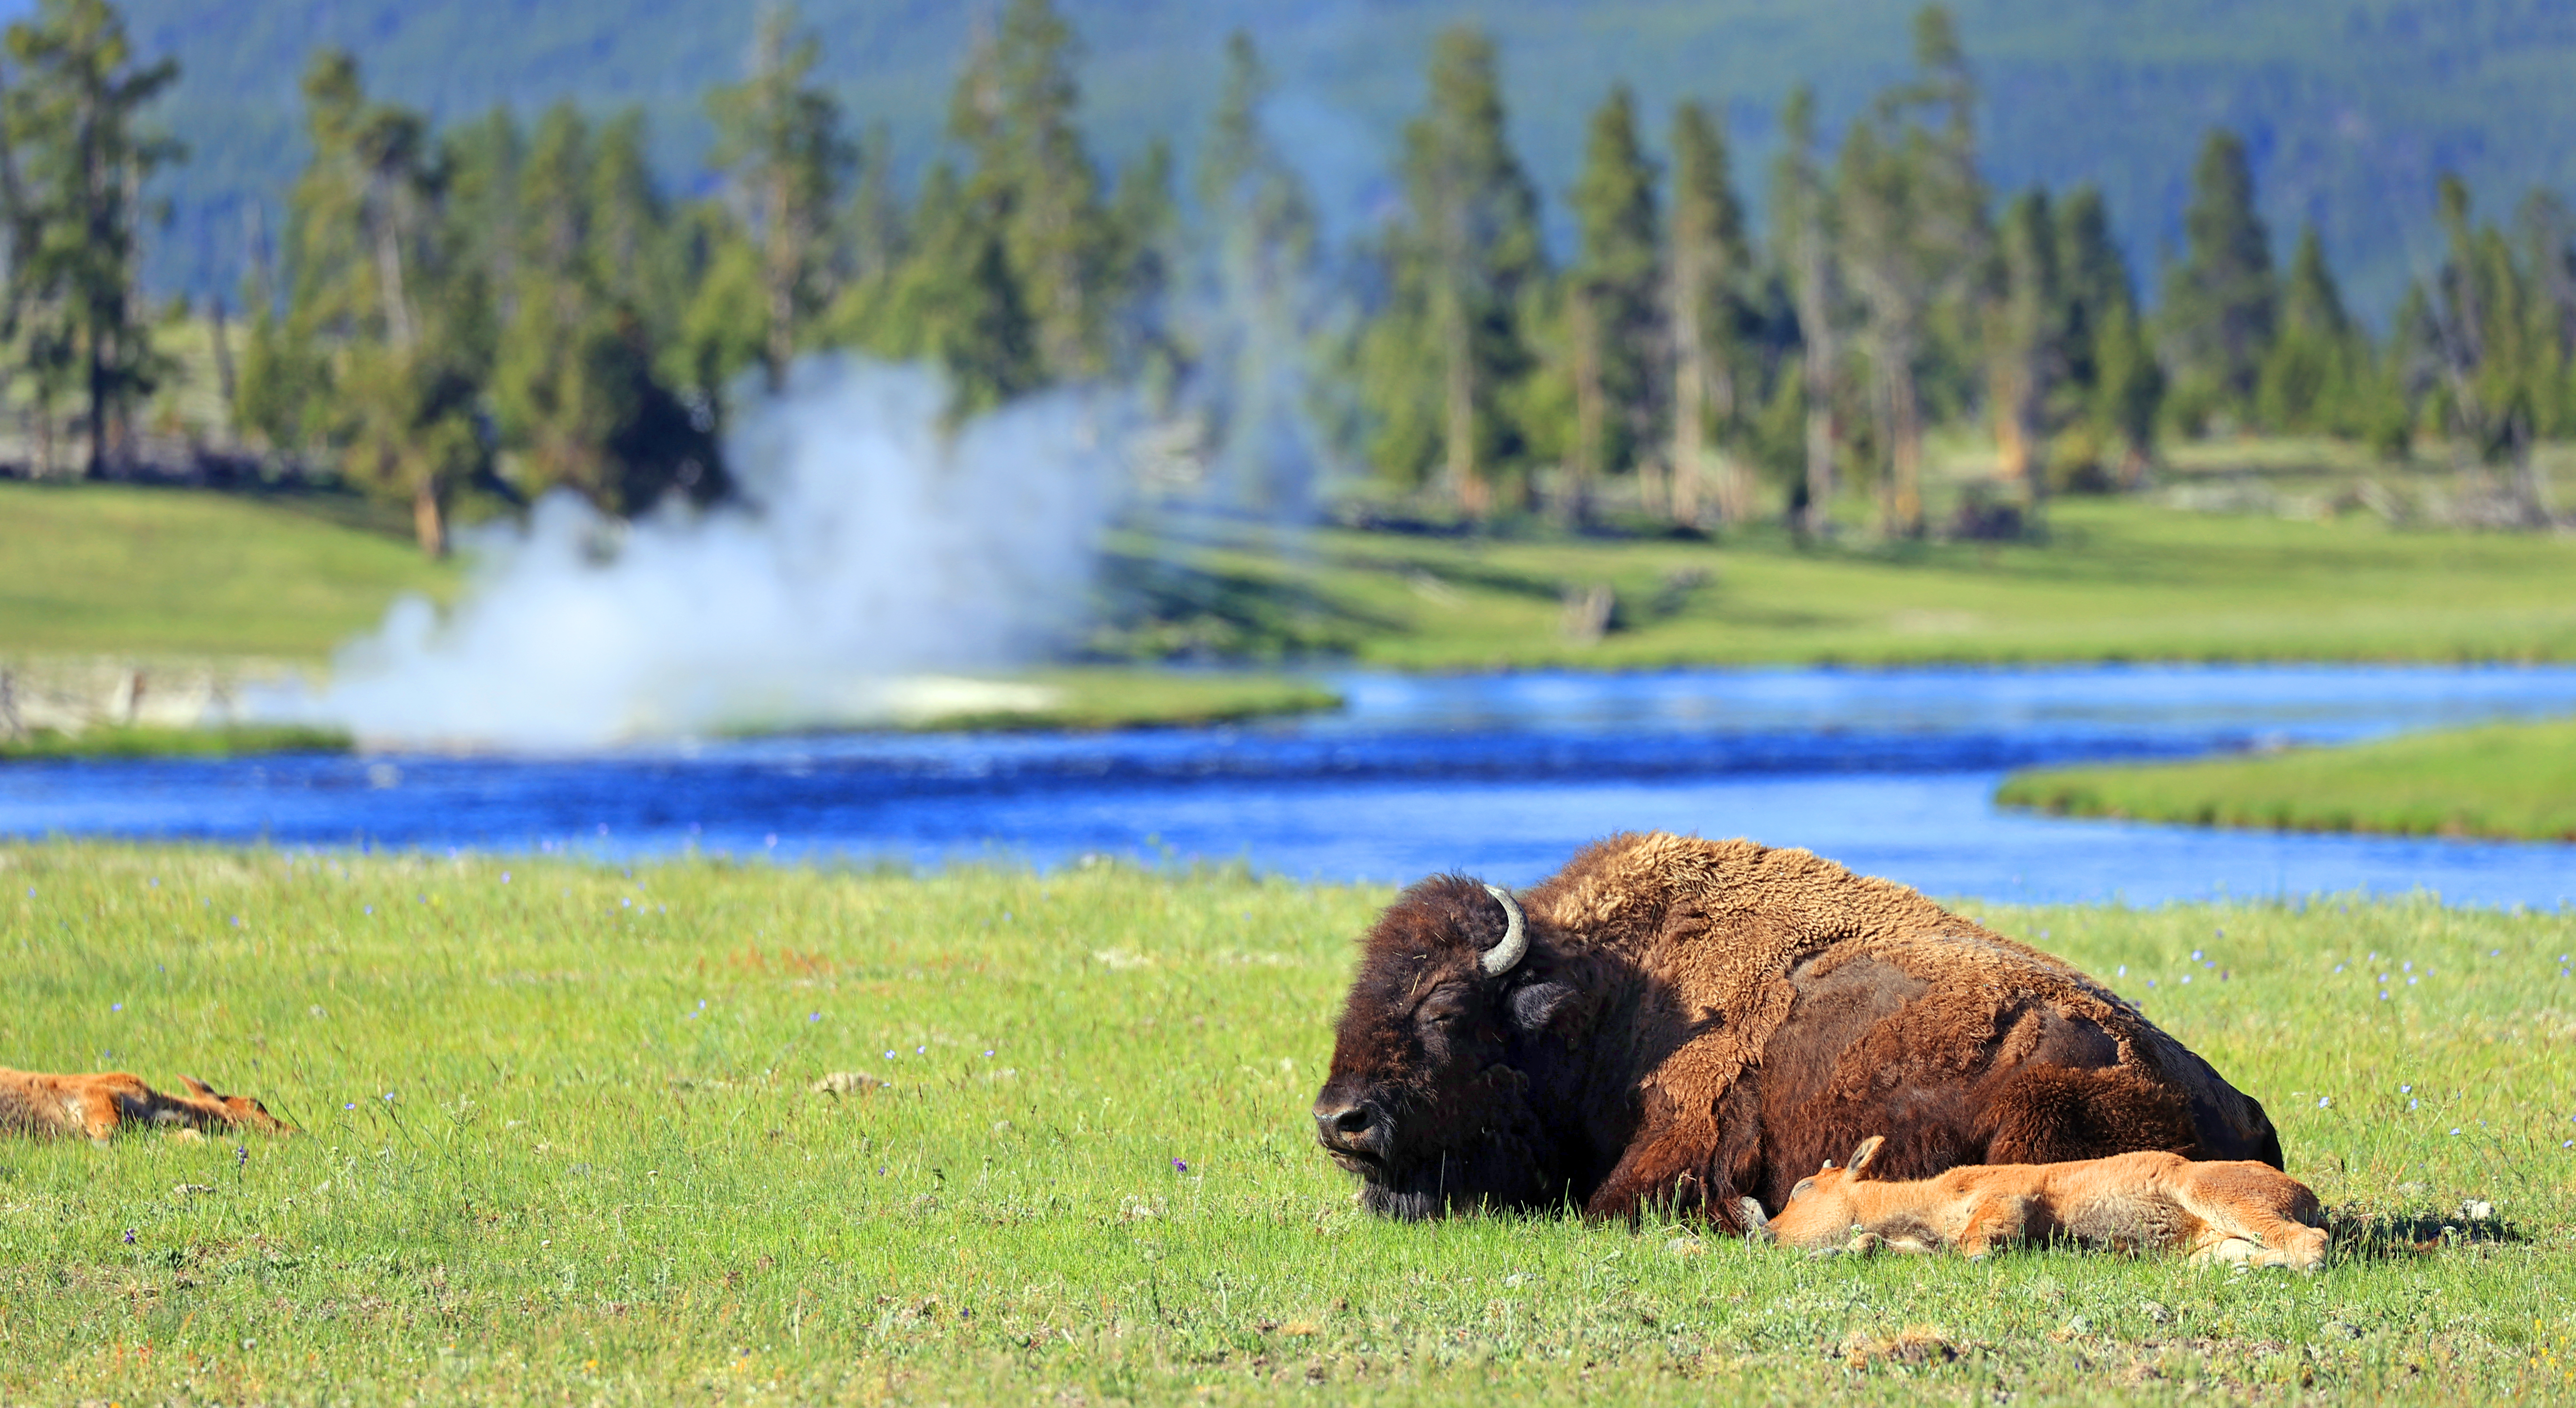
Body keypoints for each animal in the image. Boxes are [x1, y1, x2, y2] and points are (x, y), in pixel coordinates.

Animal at [1319, 825, 2287, 1222]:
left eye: (1446, 1010)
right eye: (1352, 1005)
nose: (1340, 1121)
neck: (1604, 1004)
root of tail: (2245, 1108)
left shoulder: (1681, 1145)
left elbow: (1607, 1207)